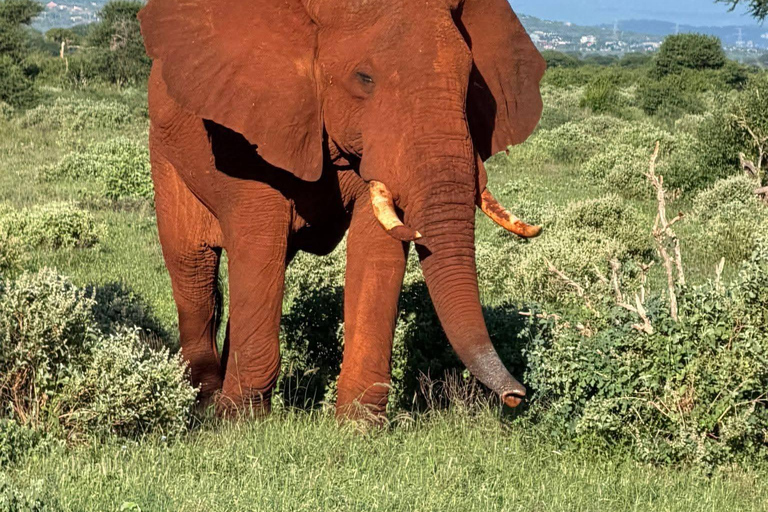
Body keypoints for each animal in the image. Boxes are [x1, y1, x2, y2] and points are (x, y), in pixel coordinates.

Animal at [138, 0, 546, 419]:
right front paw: (238, 421)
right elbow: (258, 245)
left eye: (469, 81)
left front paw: (357, 425)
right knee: (194, 271)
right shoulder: (246, 124)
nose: (517, 395)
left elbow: (376, 252)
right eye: (364, 78)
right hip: (165, 154)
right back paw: (203, 405)